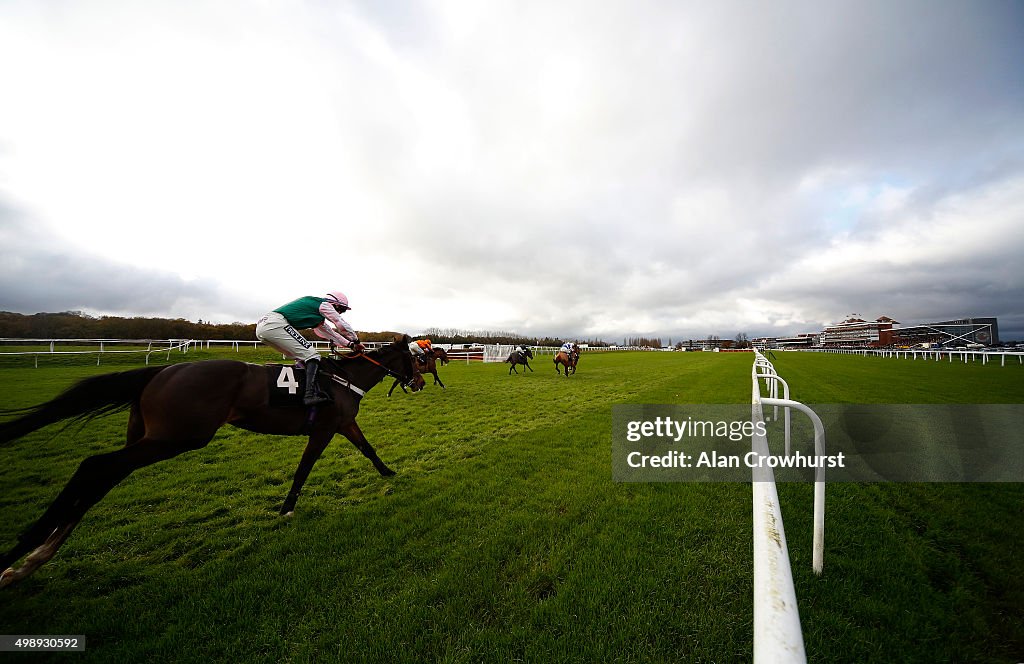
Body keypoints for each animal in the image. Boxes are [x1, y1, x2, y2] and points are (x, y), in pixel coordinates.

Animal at [0, 338, 423, 586]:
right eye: (416, 360)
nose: (419, 382)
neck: (343, 379)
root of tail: (163, 369)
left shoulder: (345, 423)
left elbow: (368, 450)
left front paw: (389, 472)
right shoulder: (323, 430)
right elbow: (304, 469)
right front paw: (286, 508)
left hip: (148, 436)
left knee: (103, 477)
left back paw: (30, 561)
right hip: (177, 436)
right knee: (95, 466)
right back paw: (20, 553)